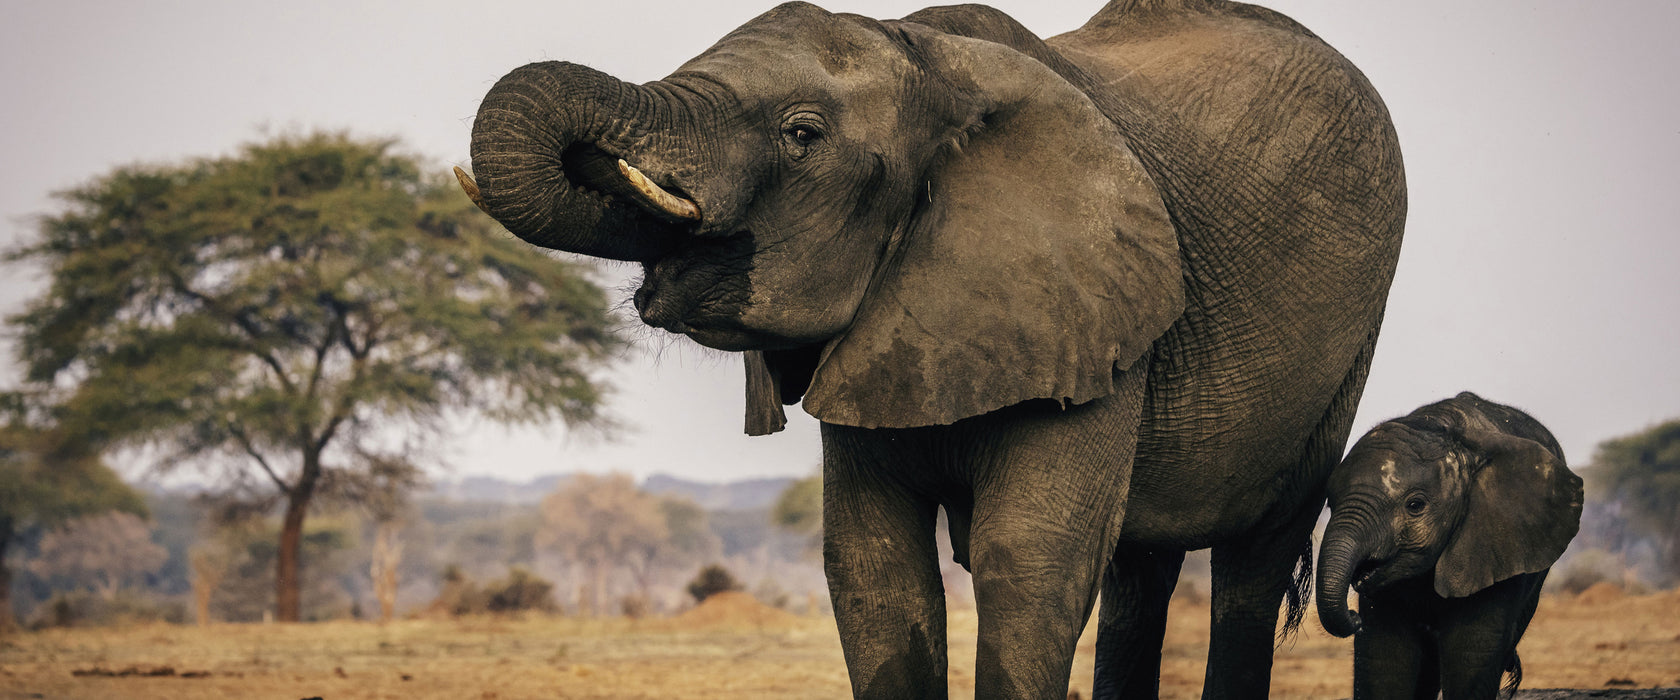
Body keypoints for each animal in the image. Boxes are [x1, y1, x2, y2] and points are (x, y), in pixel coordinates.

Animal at [460, 2, 1404, 694]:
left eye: (802, 135)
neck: (929, 64)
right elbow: (874, 567)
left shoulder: (1090, 312)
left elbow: (1028, 562)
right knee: (1141, 575)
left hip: (1343, 349)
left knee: (1251, 565)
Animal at [1317, 392, 1579, 698]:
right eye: (1330, 504)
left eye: (1415, 505)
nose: (1354, 617)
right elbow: (1384, 658)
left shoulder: (1492, 544)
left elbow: (1470, 653)